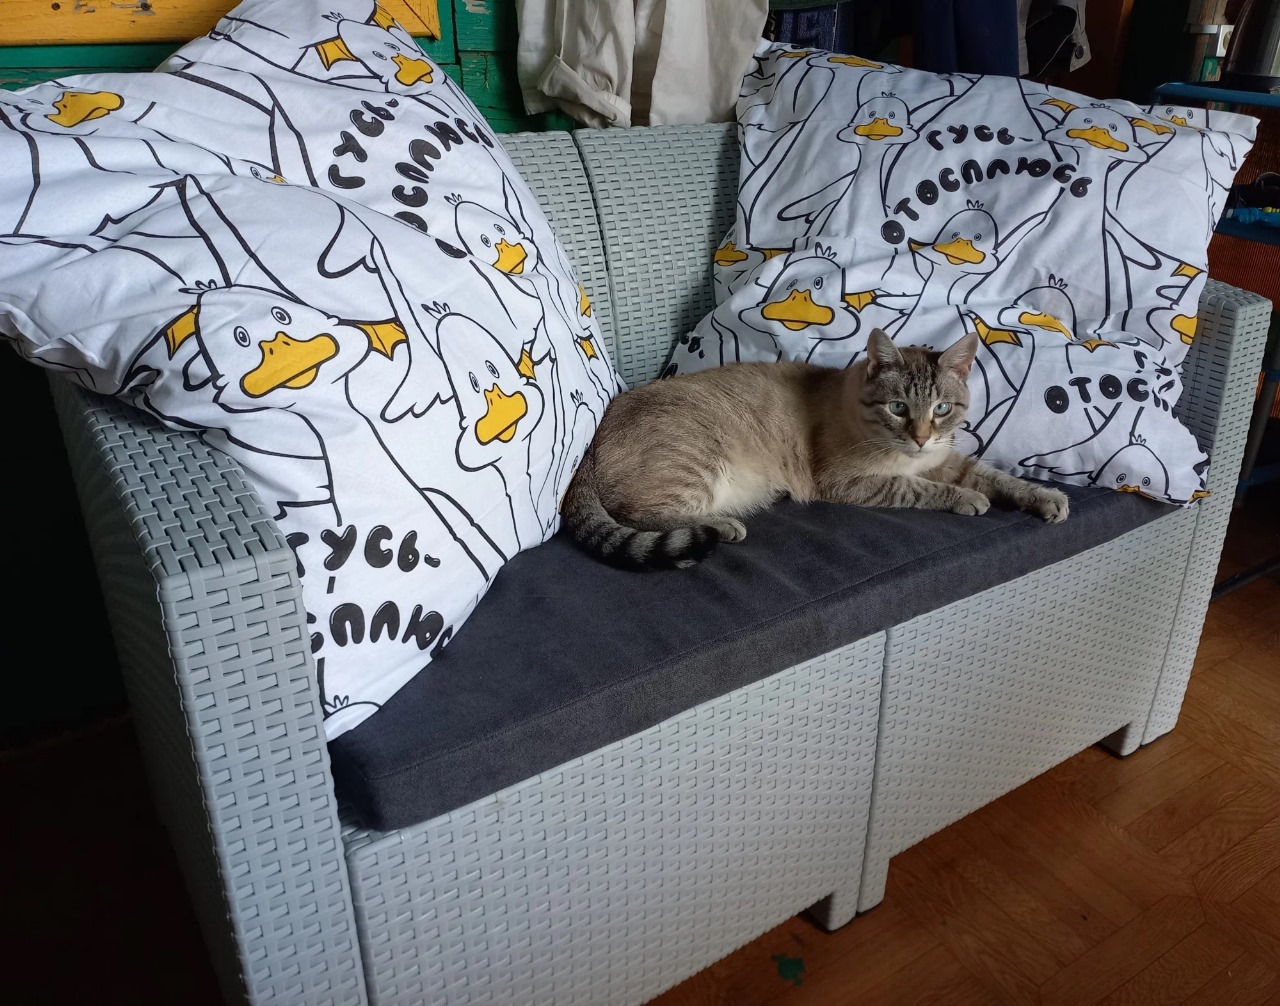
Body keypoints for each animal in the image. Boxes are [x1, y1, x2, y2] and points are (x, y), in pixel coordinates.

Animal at [561, 328, 1069, 570]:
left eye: (942, 408)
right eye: (898, 407)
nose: (922, 436)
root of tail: (589, 444)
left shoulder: (945, 458)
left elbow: (996, 476)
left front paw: (1045, 497)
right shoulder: (852, 482)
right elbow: (920, 489)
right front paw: (968, 500)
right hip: (695, 465)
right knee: (642, 516)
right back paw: (720, 528)